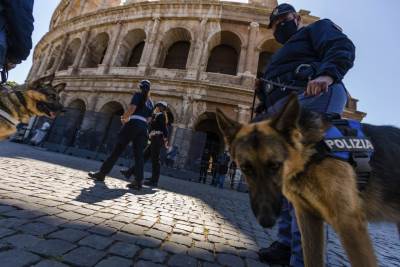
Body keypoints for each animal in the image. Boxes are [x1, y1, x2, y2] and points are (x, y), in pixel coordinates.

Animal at [216, 94, 400, 267]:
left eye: (275, 165)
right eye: (245, 168)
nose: (266, 221)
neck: (313, 152)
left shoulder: (349, 224)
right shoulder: (308, 218)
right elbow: (311, 260)